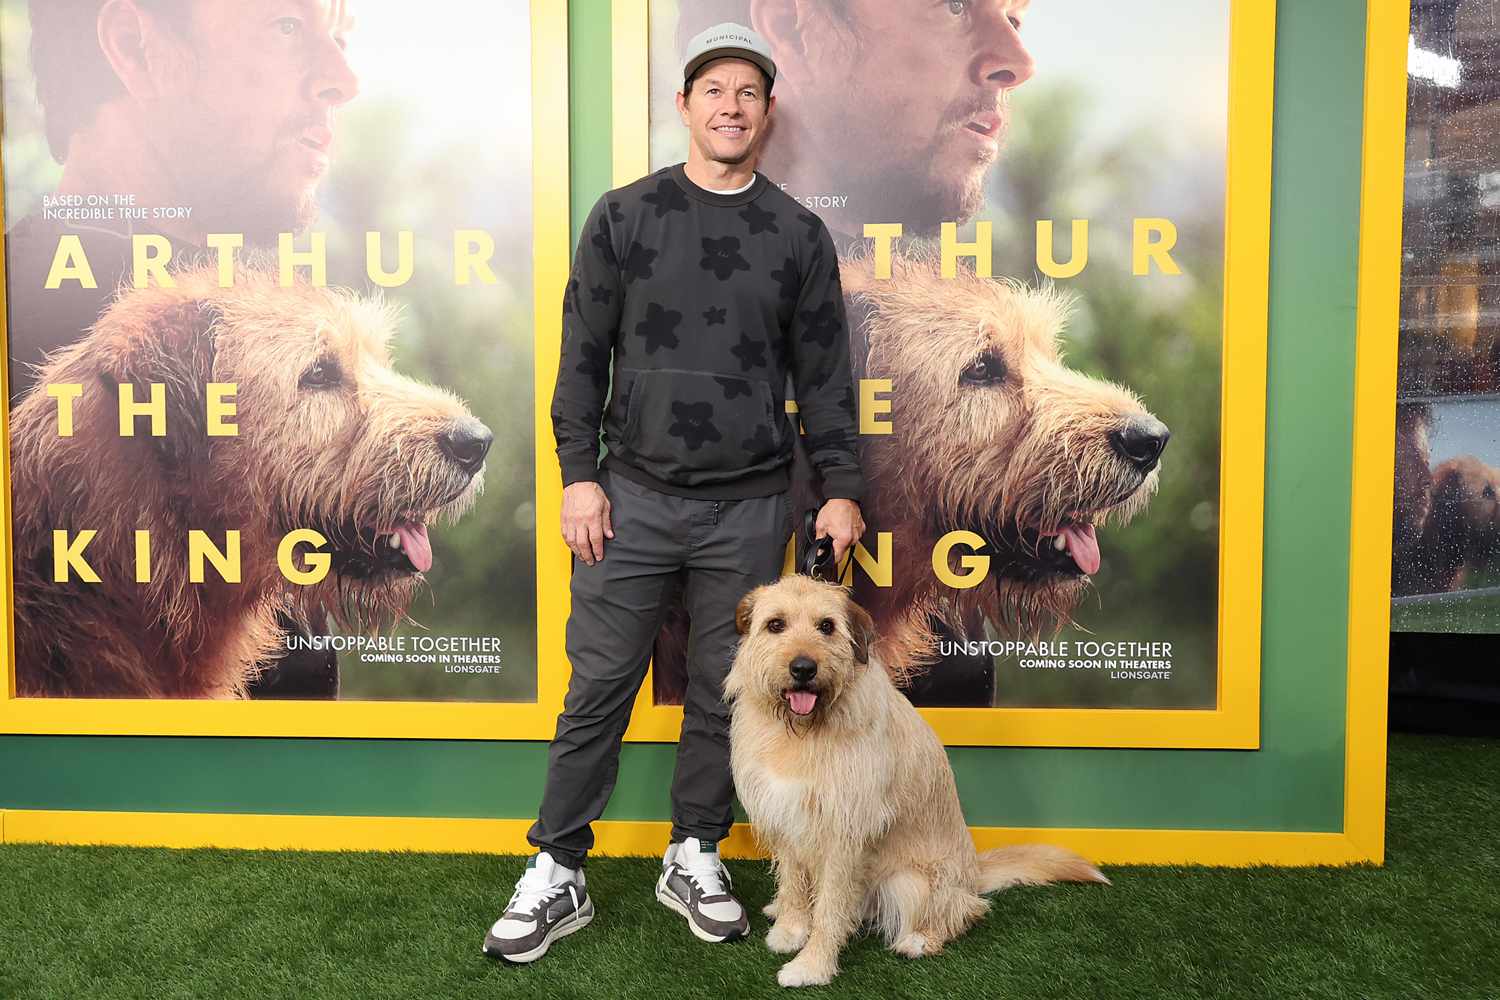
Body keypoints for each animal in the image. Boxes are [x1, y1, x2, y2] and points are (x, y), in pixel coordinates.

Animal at [732, 575, 1110, 989]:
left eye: (826, 626)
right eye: (776, 625)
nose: (803, 668)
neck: (804, 731)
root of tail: (973, 873)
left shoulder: (843, 834)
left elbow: (830, 908)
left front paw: (812, 965)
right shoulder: (786, 816)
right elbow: (793, 881)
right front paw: (790, 928)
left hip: (909, 882)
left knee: (967, 910)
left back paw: (919, 940)